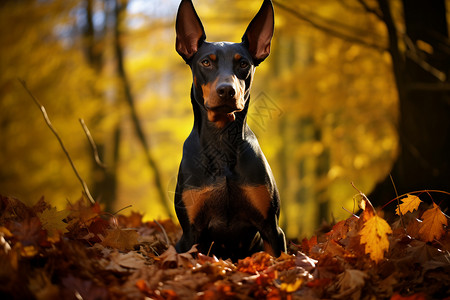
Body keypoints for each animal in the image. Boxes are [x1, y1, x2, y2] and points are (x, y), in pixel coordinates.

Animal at [174, 0, 286, 260]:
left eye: (243, 63)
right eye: (206, 62)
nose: (227, 90)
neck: (222, 139)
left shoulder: (271, 228)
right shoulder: (191, 232)